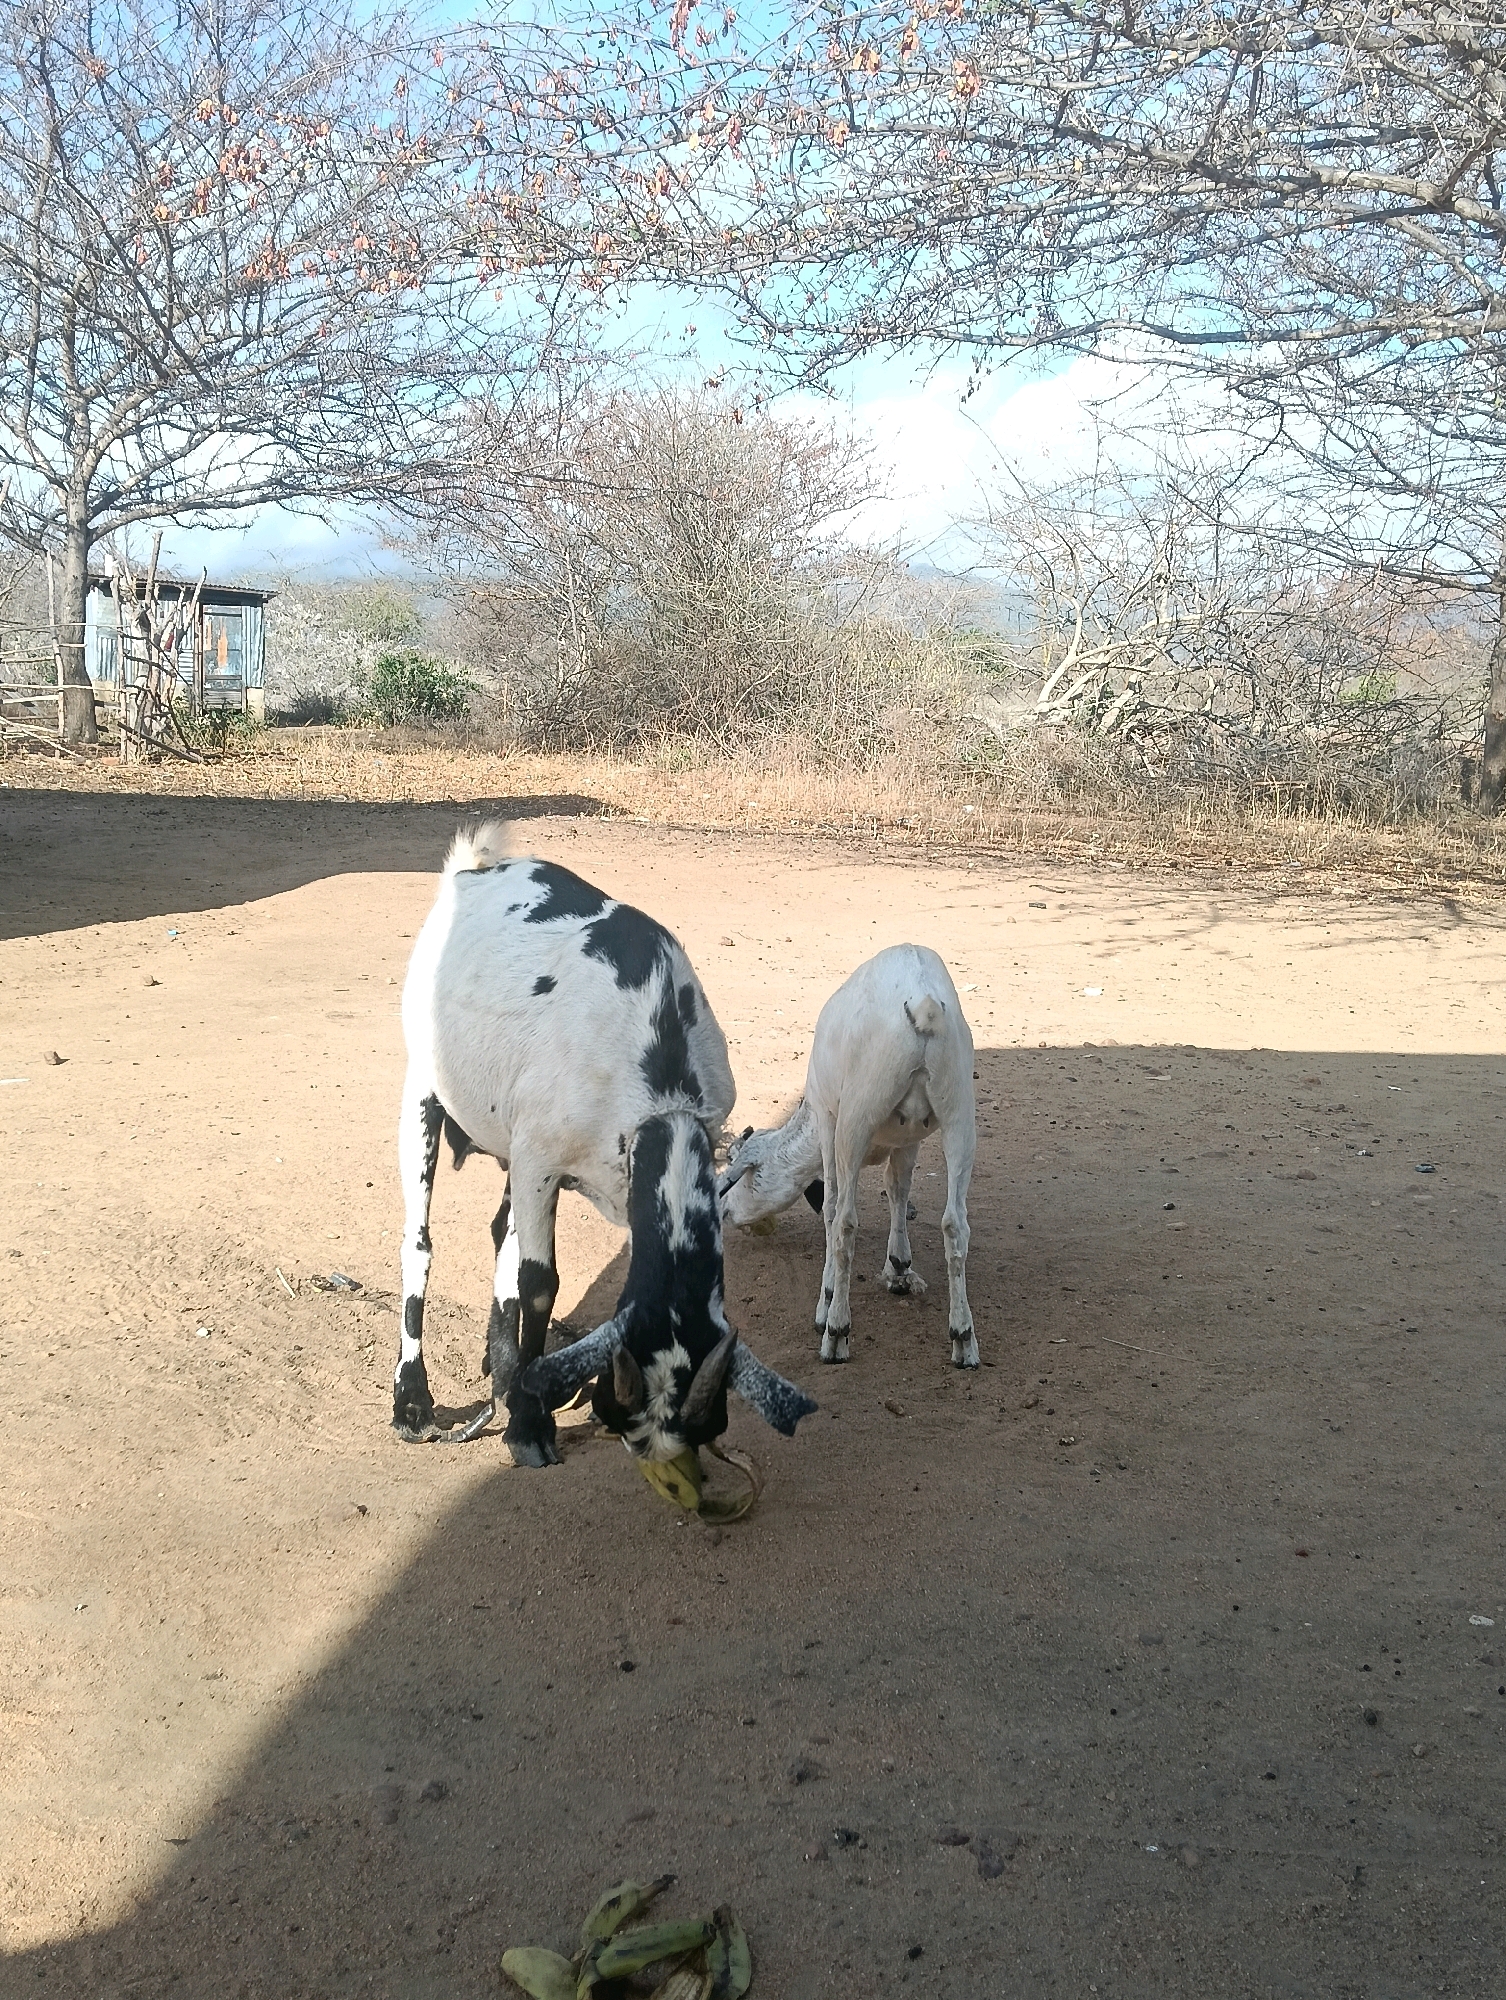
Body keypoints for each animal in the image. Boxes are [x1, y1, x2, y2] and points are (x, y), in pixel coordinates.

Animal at [394, 825, 817, 1466]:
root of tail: (470, 871)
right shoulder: (540, 1161)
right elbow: (539, 1283)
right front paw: (528, 1425)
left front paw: (521, 1387)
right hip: (423, 1086)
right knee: (419, 1242)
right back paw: (413, 1401)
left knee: (499, 1233)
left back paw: (498, 1365)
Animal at [718, 943, 978, 1369]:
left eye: (743, 1173)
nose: (724, 1213)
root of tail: (922, 1006)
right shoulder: (909, 1137)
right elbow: (897, 1189)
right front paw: (898, 1267)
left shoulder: (826, 1122)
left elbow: (830, 1204)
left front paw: (825, 1303)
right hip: (959, 1113)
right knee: (955, 1224)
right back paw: (964, 1339)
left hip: (855, 1120)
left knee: (845, 1221)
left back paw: (837, 1333)